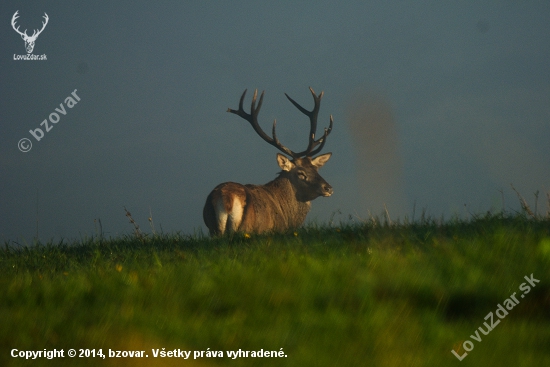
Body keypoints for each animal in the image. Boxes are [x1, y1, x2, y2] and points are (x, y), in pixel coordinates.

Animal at [203, 87, 332, 236]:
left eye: (316, 169)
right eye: (301, 173)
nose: (328, 188)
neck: (287, 216)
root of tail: (227, 198)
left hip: (213, 228)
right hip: (245, 228)